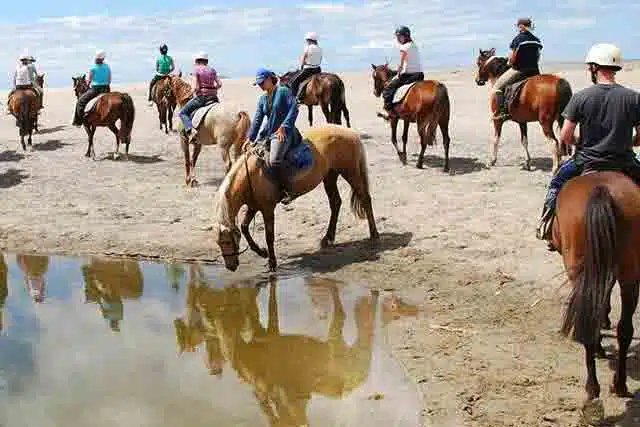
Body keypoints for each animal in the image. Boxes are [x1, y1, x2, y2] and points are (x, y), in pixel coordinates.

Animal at [214, 124, 380, 270]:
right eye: (218, 243)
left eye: (227, 242)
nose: (230, 267)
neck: (252, 175)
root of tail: (351, 133)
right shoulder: (253, 206)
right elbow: (244, 228)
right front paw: (262, 252)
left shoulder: (267, 209)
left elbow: (269, 236)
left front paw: (272, 262)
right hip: (330, 176)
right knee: (335, 203)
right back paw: (327, 238)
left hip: (350, 172)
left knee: (365, 198)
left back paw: (374, 234)